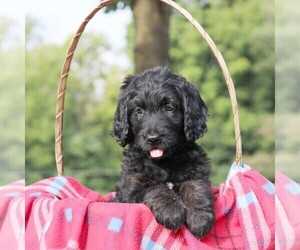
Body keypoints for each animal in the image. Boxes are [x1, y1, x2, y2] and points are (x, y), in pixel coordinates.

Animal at [112, 66, 213, 238]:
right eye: (139, 111)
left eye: (169, 108)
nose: (153, 138)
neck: (165, 161)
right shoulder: (131, 189)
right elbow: (155, 188)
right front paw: (171, 211)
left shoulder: (197, 172)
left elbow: (195, 186)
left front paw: (200, 217)